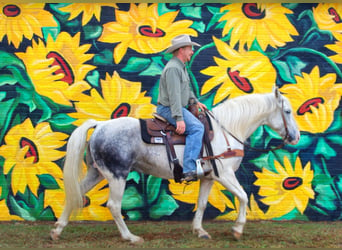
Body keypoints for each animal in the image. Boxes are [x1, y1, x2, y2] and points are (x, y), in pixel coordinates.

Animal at [50, 87, 300, 243]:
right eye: (287, 111)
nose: (296, 137)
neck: (225, 130)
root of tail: (100, 126)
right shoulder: (225, 174)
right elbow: (244, 197)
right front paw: (237, 230)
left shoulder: (209, 177)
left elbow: (201, 204)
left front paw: (199, 231)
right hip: (117, 175)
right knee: (113, 205)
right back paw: (130, 237)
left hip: (98, 172)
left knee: (75, 194)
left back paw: (57, 230)